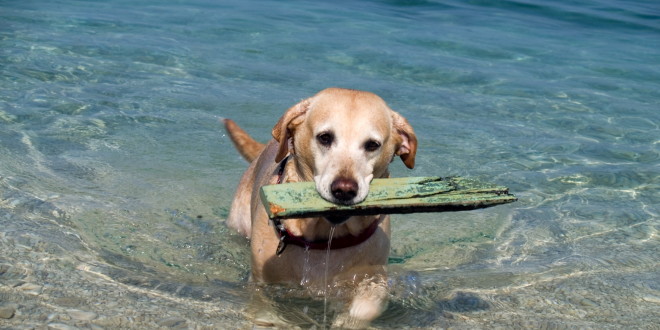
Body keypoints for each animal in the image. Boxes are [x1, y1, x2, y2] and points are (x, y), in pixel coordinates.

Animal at [224, 87, 416, 328]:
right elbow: (266, 312)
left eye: (372, 145)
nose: (344, 190)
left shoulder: (372, 279)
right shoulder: (262, 285)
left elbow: (365, 307)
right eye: (325, 137)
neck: (323, 237)